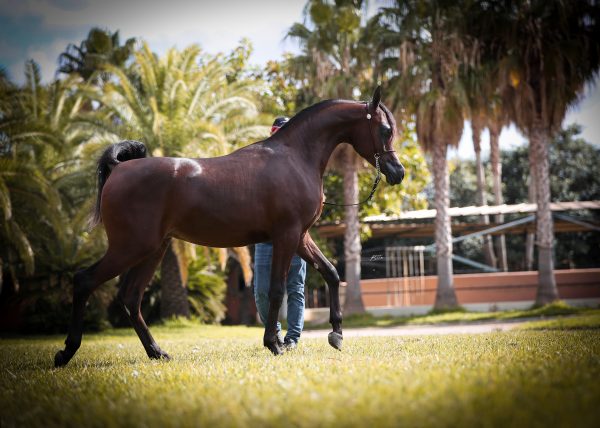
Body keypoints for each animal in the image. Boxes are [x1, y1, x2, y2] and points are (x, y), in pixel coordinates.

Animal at [54, 87, 406, 368]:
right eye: (384, 129)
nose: (398, 172)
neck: (294, 156)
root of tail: (119, 169)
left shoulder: (300, 237)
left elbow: (331, 273)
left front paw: (336, 333)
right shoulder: (287, 236)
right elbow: (276, 290)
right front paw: (274, 344)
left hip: (153, 250)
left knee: (130, 297)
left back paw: (157, 352)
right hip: (131, 248)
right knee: (85, 281)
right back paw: (66, 352)